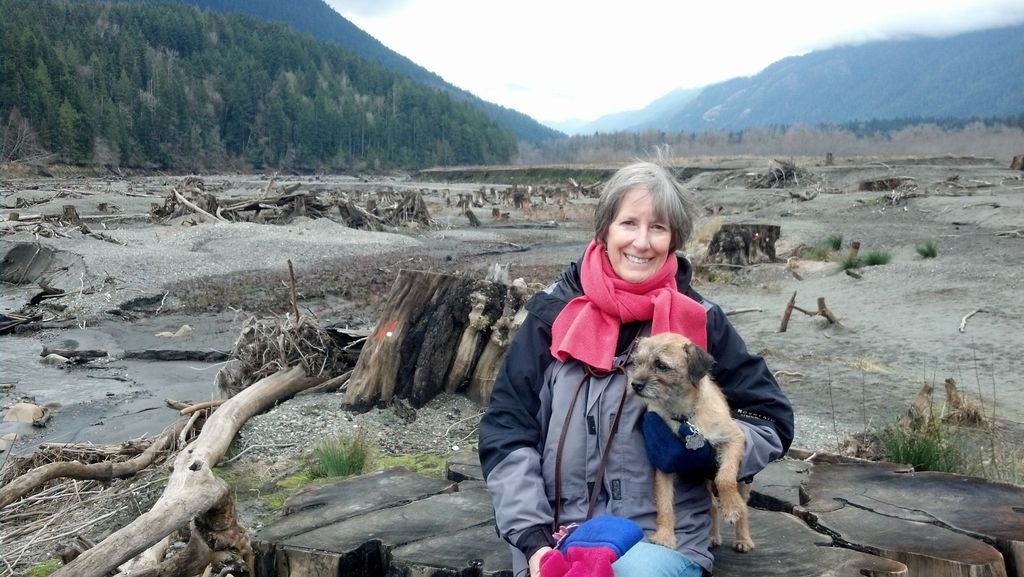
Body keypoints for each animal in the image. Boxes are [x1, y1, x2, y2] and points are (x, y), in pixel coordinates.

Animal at [630, 336, 753, 553]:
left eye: (661, 365)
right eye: (637, 362)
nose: (635, 384)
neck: (683, 415)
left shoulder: (734, 439)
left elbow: (725, 477)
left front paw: (731, 507)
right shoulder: (665, 462)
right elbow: (665, 503)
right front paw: (664, 536)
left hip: (742, 481)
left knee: (744, 505)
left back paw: (743, 538)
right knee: (711, 504)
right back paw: (712, 536)